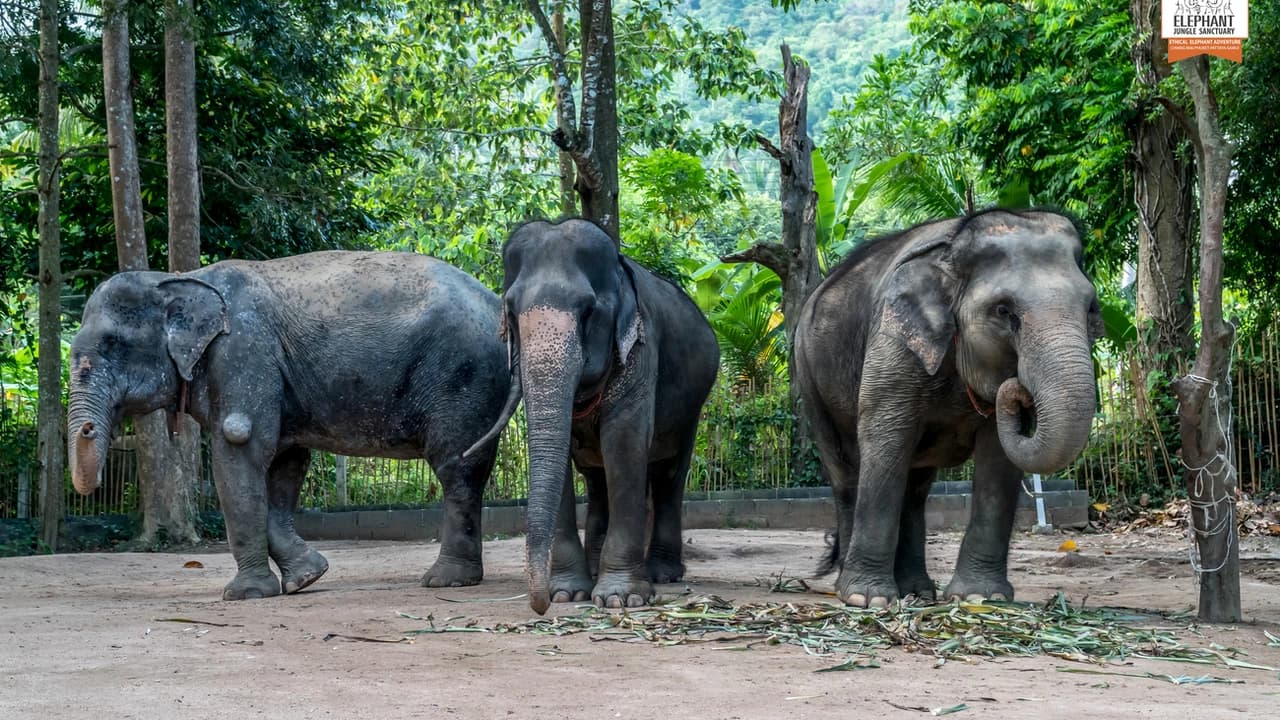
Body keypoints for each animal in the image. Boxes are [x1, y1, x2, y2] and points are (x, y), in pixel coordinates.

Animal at [67, 251, 509, 600]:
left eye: (112, 344)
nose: (88, 429)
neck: (178, 277)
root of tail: (493, 299)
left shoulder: (243, 353)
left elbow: (240, 446)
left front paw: (244, 595)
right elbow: (284, 462)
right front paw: (306, 578)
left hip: (462, 378)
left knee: (457, 467)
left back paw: (445, 581)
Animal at [466, 218, 719, 614]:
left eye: (588, 311)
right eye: (511, 312)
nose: (539, 606)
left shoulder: (641, 352)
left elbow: (624, 446)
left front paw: (621, 598)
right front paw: (567, 594)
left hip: (693, 402)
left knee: (668, 475)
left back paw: (663, 574)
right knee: (598, 480)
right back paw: (600, 564)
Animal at [794, 209, 1101, 608]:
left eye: (1091, 308)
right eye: (1003, 311)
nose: (1017, 388)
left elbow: (998, 462)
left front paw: (981, 597)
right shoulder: (893, 344)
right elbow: (885, 440)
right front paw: (868, 600)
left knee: (914, 487)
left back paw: (917, 591)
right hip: (808, 375)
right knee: (846, 474)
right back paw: (851, 585)